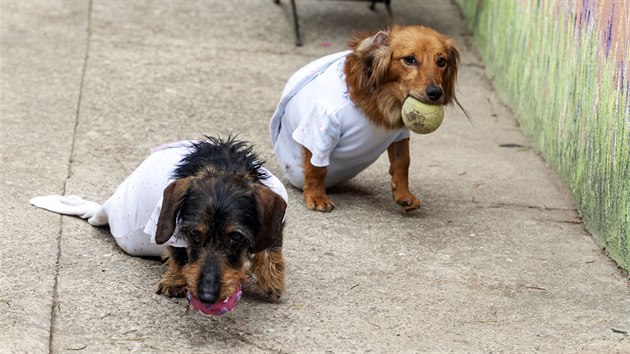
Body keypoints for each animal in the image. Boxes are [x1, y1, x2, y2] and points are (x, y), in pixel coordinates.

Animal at [270, 26, 462, 213]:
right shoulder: (321, 126)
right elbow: (317, 167)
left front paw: (403, 194)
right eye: (409, 59)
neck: (381, 101)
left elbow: (402, 162)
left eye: (441, 61)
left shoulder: (399, 134)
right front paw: (316, 196)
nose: (435, 93)